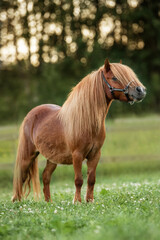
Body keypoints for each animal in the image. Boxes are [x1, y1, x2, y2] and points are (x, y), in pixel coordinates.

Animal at [11, 59, 146, 202]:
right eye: (114, 77)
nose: (141, 90)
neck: (87, 122)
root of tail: (31, 114)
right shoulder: (77, 155)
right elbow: (78, 180)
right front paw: (77, 201)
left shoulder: (95, 154)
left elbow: (91, 179)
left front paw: (90, 201)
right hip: (28, 155)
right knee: (21, 177)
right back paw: (16, 202)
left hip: (52, 158)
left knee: (45, 176)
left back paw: (49, 202)